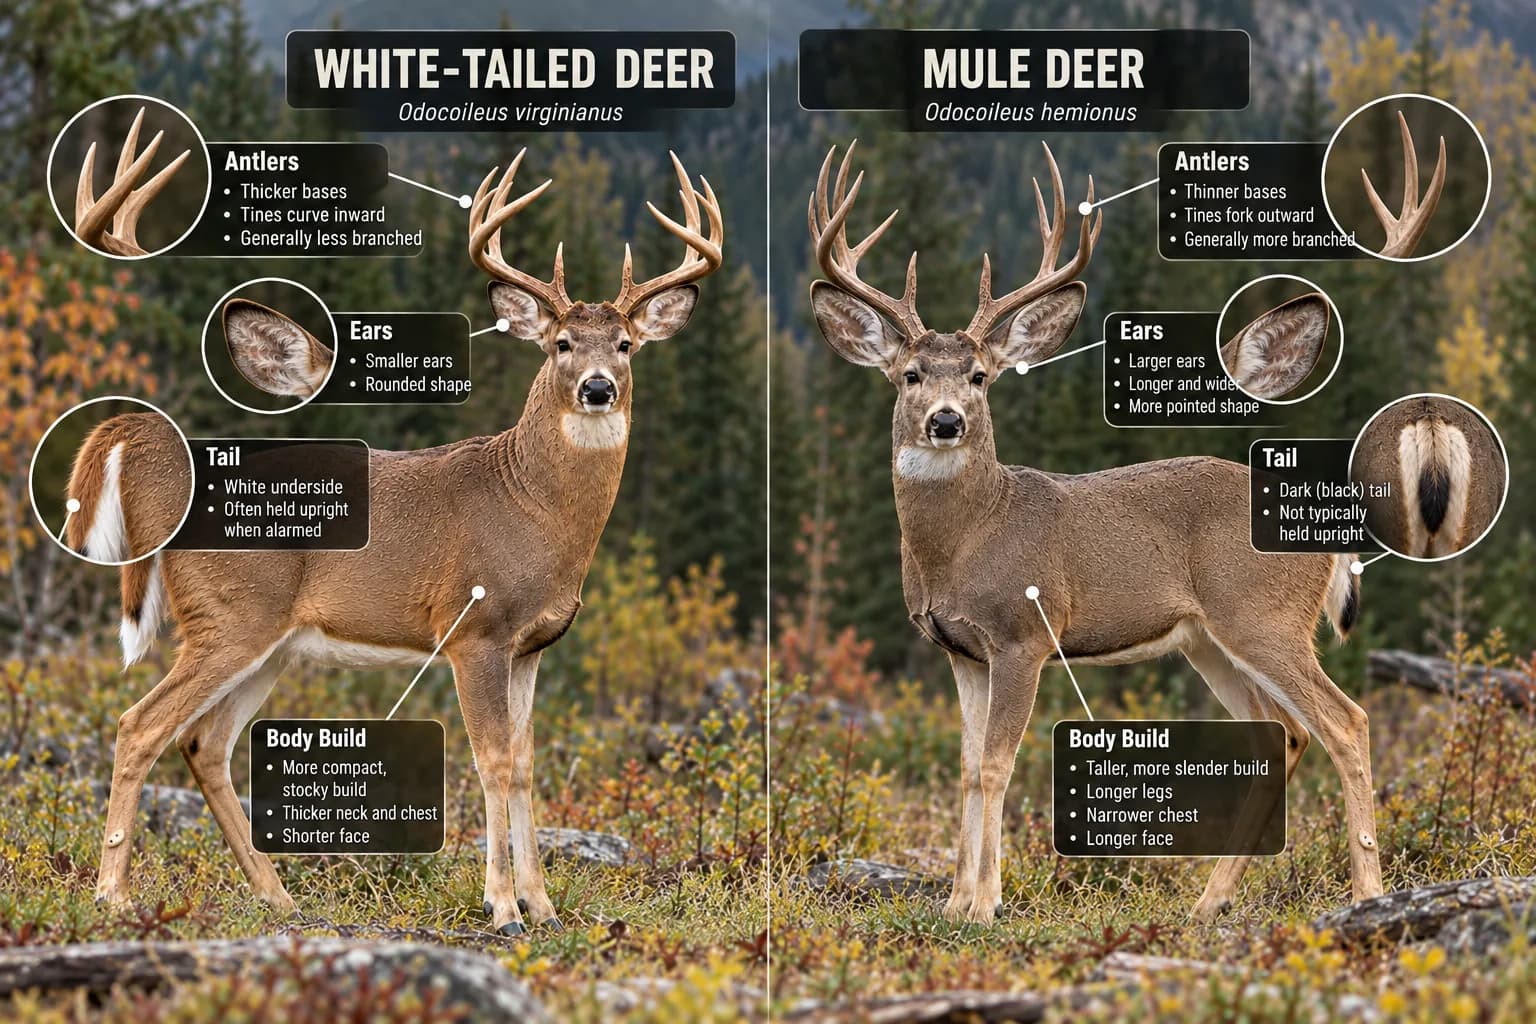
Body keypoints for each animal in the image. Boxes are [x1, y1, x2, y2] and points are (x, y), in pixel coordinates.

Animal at [67, 149, 722, 935]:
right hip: (231, 615)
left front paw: (544, 906)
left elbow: (525, 762)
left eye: (625, 345)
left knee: (204, 742)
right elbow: (492, 760)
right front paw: (503, 908)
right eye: (561, 344)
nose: (598, 388)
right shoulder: (474, 629)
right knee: (140, 725)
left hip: (269, 641)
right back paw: (112, 894)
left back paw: (278, 896)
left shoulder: (532, 646)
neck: (535, 509)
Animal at [807, 140, 1387, 924]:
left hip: (1263, 615)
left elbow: (997, 765)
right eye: (910, 375)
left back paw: (1369, 892)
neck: (964, 543)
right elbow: (965, 768)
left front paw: (984, 906)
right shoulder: (960, 651)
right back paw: (1207, 904)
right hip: (1209, 642)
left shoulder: (1024, 633)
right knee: (1287, 733)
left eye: (981, 376)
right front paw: (954, 903)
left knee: (1347, 722)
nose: (946, 421)